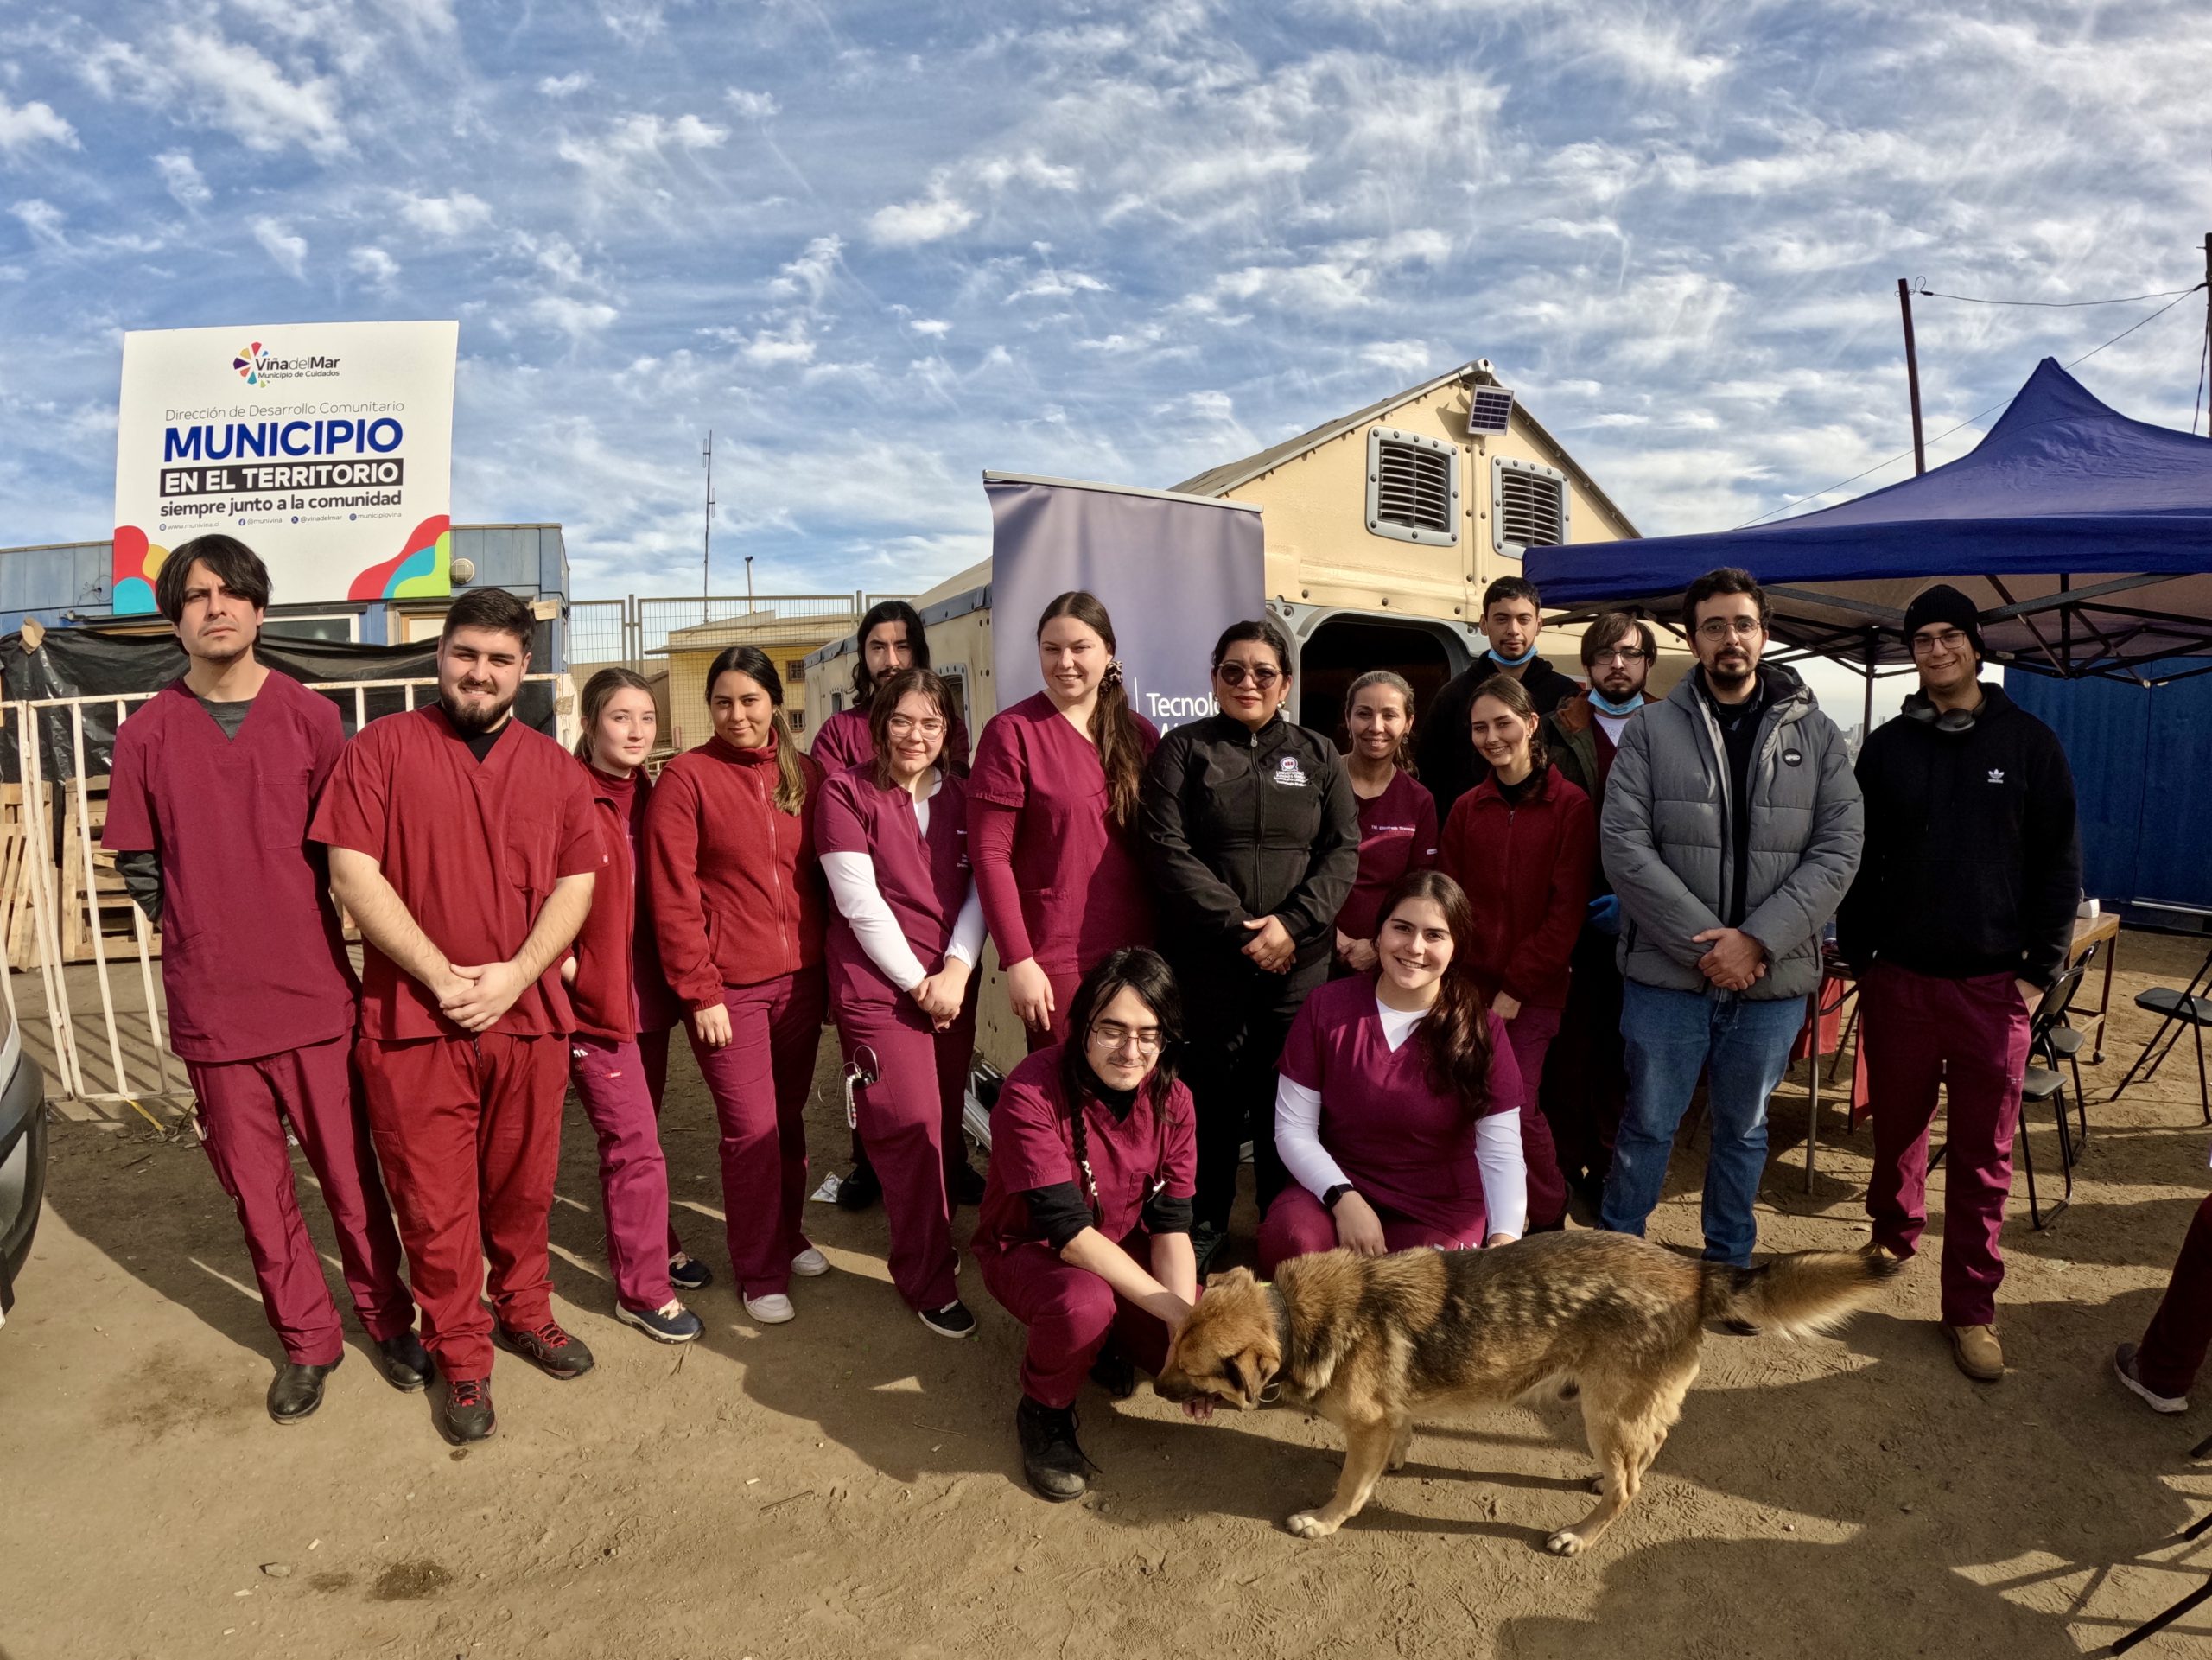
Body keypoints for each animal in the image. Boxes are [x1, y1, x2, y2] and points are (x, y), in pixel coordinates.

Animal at [1150, 1239, 1893, 1558]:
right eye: (1169, 1348)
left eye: (1188, 1367)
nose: (1154, 1386)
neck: (1291, 1315)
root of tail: (1697, 1269)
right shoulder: (1389, 1415)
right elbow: (1399, 1434)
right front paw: (1399, 1457)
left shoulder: (1363, 1427)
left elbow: (1350, 1487)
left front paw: (1325, 1520)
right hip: (1623, 1411)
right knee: (1647, 1450)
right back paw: (1602, 1482)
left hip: (1604, 1412)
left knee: (1631, 1489)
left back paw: (1580, 1533)